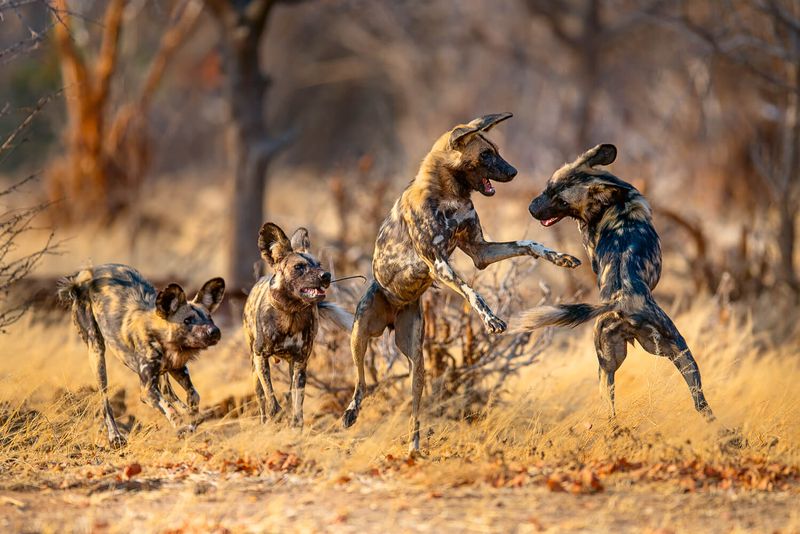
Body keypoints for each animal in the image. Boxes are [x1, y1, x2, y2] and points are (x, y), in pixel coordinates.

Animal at [58, 264, 225, 448]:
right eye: (187, 320)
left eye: (209, 317)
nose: (214, 331)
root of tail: (88, 272)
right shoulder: (147, 390)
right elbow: (168, 407)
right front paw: (182, 426)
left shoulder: (178, 368)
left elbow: (194, 395)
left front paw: (192, 419)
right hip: (96, 352)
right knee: (105, 402)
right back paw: (115, 437)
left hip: (162, 373)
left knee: (167, 391)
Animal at [244, 224, 354, 430]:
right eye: (299, 267)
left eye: (319, 264)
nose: (326, 275)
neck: (290, 313)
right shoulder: (261, 357)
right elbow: (271, 398)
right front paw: (275, 417)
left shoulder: (301, 363)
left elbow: (297, 403)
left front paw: (295, 426)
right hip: (254, 366)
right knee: (261, 398)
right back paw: (264, 422)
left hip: (290, 366)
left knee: (289, 393)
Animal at [340, 114, 580, 456]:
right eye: (486, 155)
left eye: (497, 151)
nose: (514, 172)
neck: (448, 194)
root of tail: (392, 313)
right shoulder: (439, 265)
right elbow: (472, 292)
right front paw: (491, 319)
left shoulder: (480, 252)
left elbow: (530, 244)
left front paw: (559, 257)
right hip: (359, 334)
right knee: (360, 380)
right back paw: (351, 412)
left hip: (417, 361)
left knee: (415, 410)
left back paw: (414, 449)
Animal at [516, 144, 716, 426]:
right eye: (548, 187)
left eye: (561, 200)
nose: (532, 209)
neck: (615, 201)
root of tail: (620, 301)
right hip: (679, 350)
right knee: (699, 402)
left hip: (610, 368)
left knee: (615, 410)